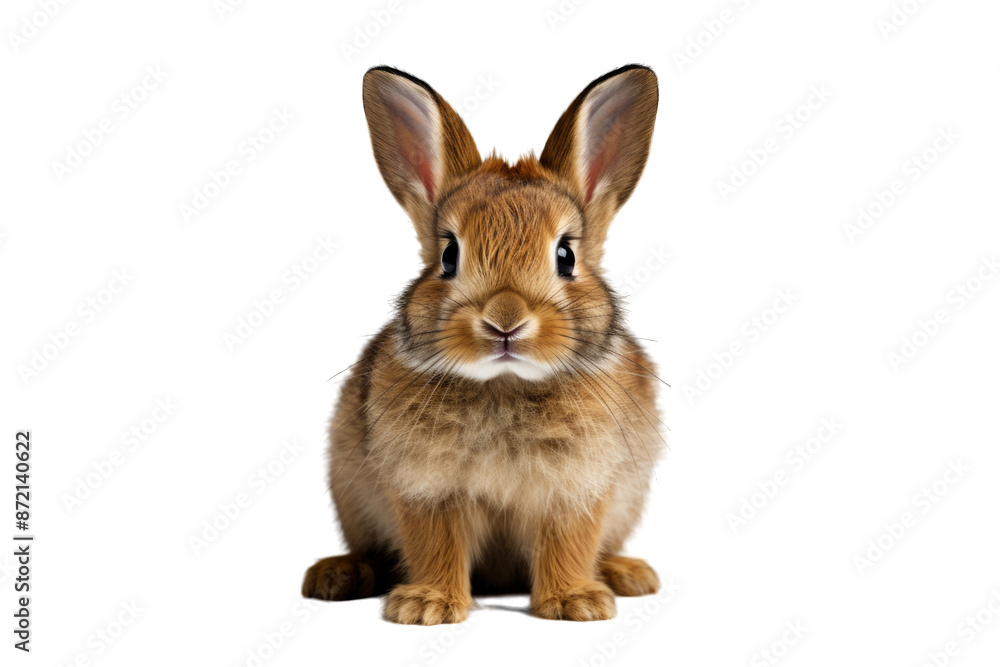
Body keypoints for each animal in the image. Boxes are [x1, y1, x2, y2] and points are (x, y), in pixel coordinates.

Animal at [302, 64, 664, 624]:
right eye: (449, 256)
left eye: (566, 256)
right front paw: (426, 607)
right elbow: (436, 544)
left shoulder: (578, 490)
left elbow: (569, 543)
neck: (504, 383)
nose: (504, 322)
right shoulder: (427, 489)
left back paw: (627, 574)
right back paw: (338, 574)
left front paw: (576, 603)